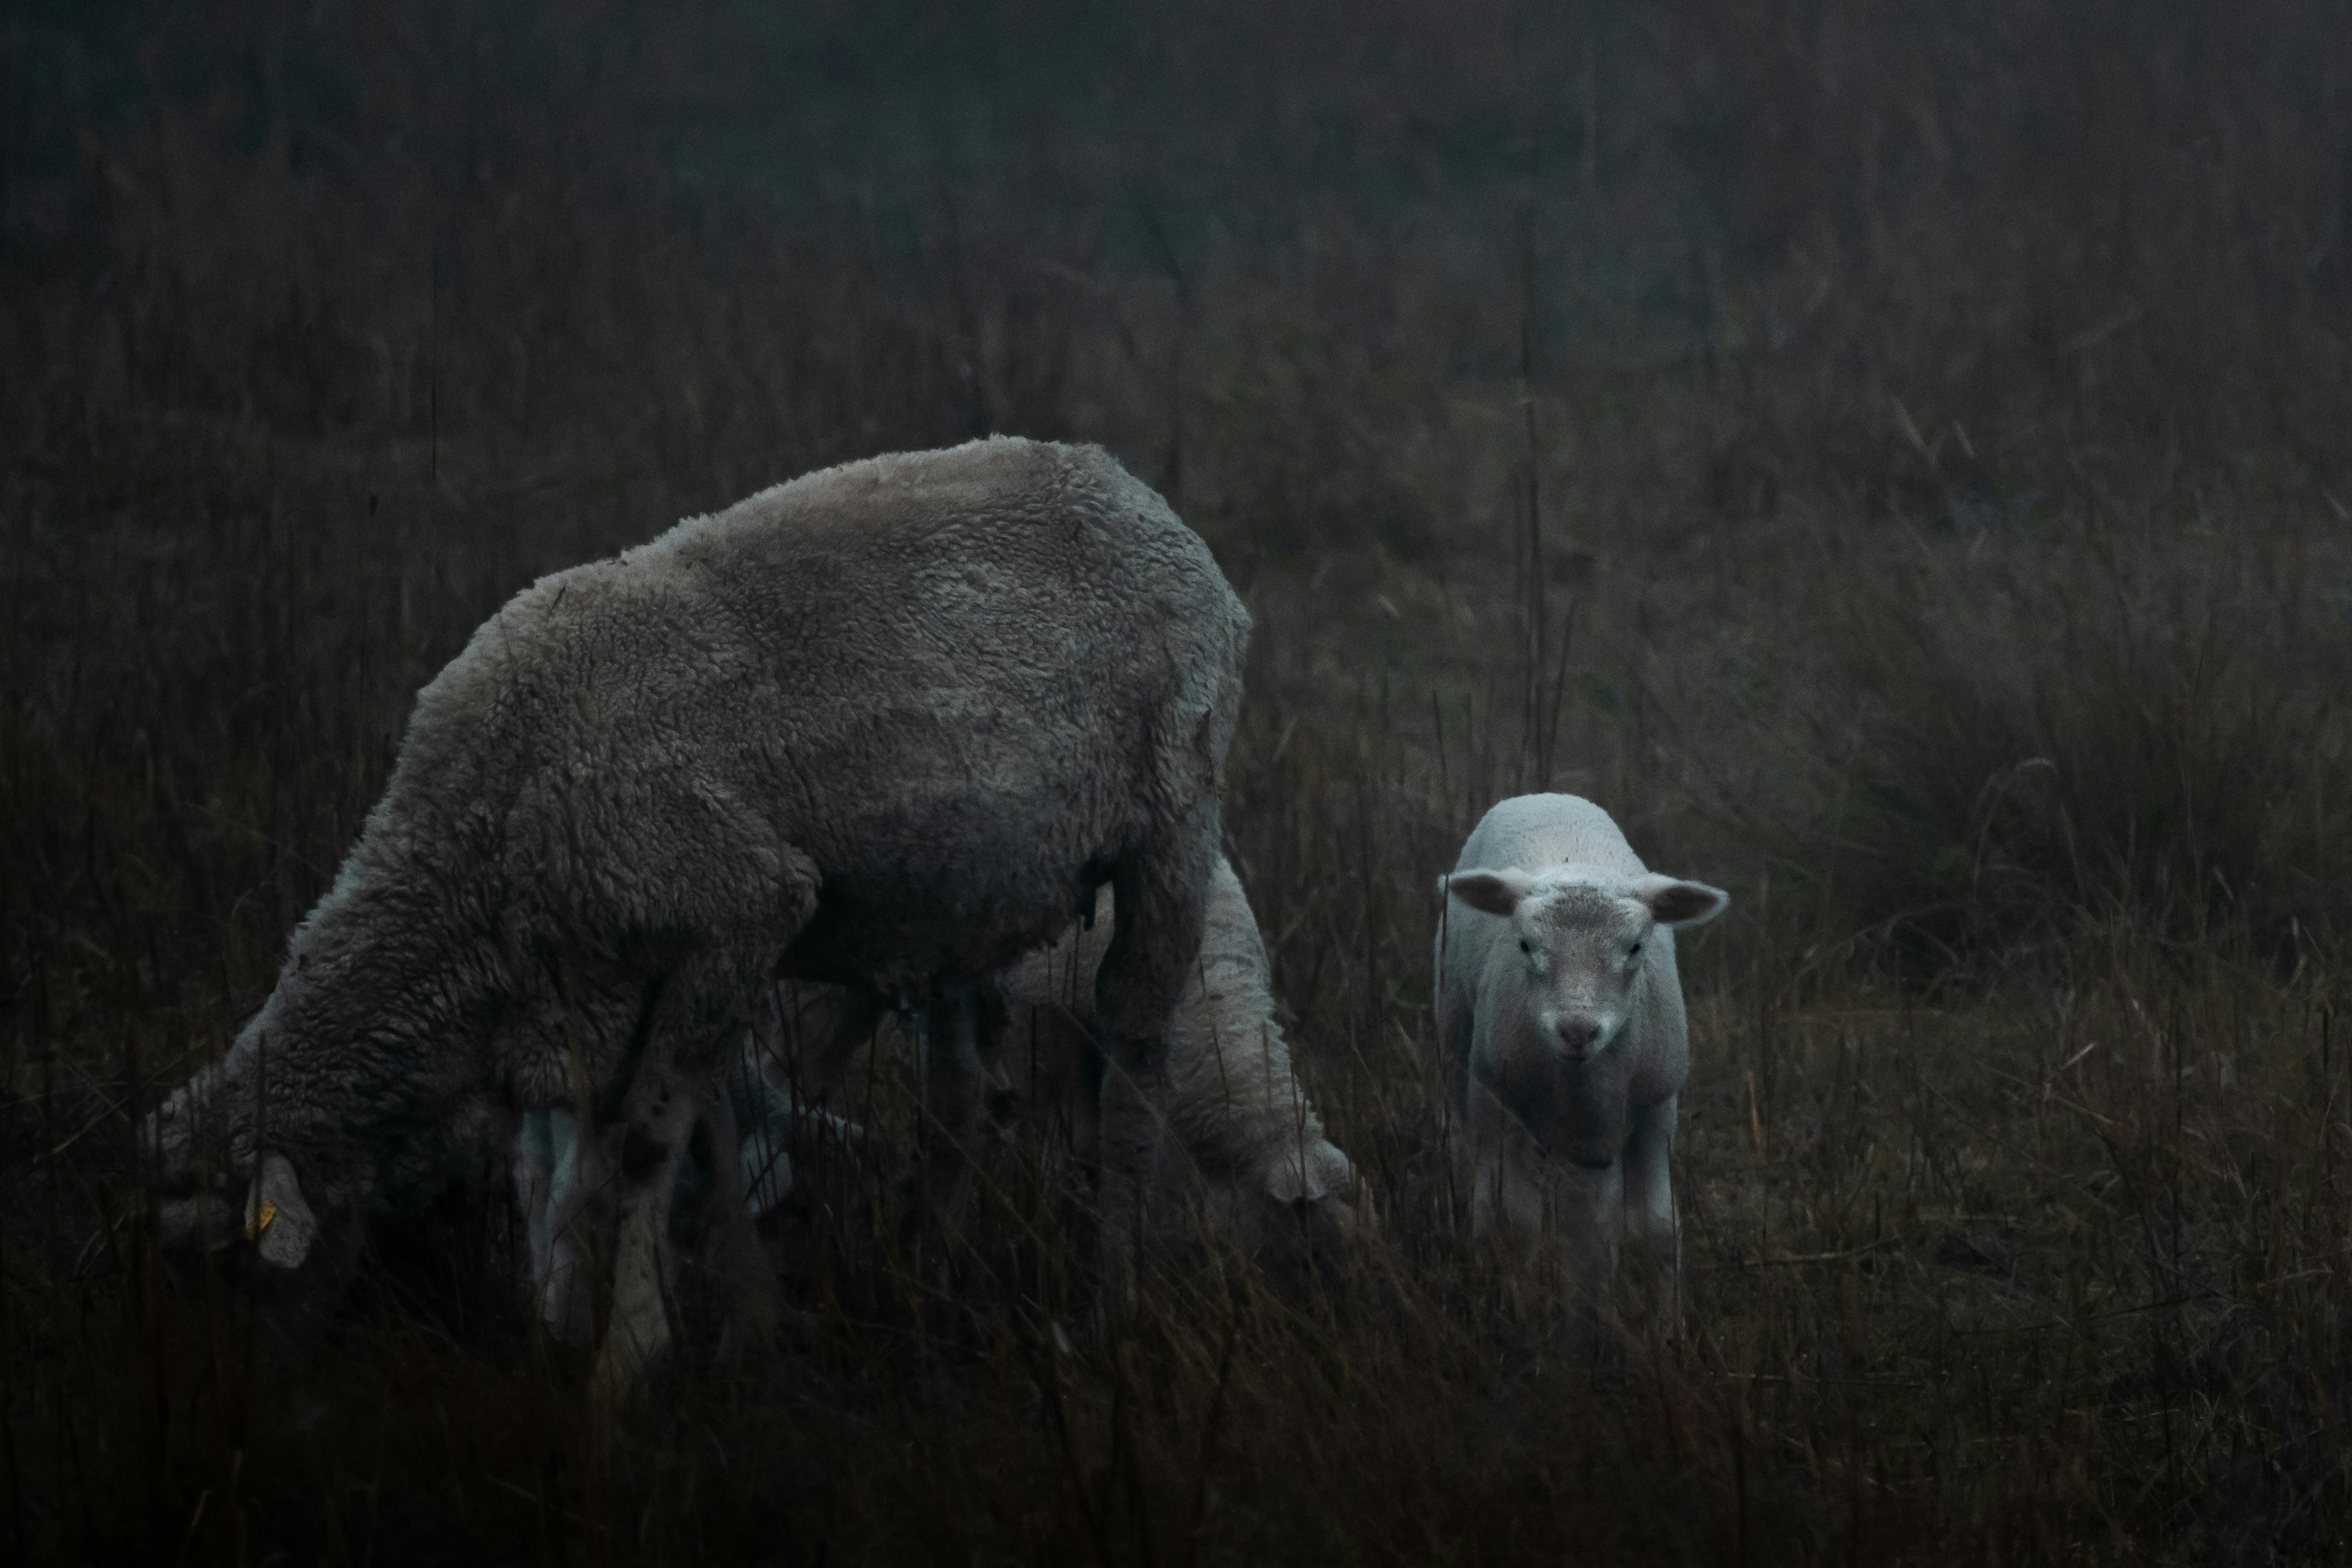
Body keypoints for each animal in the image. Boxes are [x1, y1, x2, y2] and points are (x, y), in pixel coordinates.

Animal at [147, 435, 1249, 1396]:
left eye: (229, 1267)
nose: (238, 1397)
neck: (477, 835)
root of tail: (1130, 489)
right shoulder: (600, 988)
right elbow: (617, 1159)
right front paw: (616, 1329)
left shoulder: (739, 908)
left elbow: (642, 1150)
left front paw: (626, 1362)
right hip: (962, 899)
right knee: (963, 1098)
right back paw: (930, 1283)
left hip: (1173, 820)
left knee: (1134, 1063)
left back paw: (1105, 1312)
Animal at [1436, 793, 1726, 1324]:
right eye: (1525, 945)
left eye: (1635, 947)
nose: (1577, 1031)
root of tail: (1542, 795)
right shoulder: (1495, 1102)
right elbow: (1512, 1224)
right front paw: (1514, 1316)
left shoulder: (1657, 1108)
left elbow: (1653, 1228)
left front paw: (1660, 1327)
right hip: (1453, 1037)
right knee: (1464, 1155)